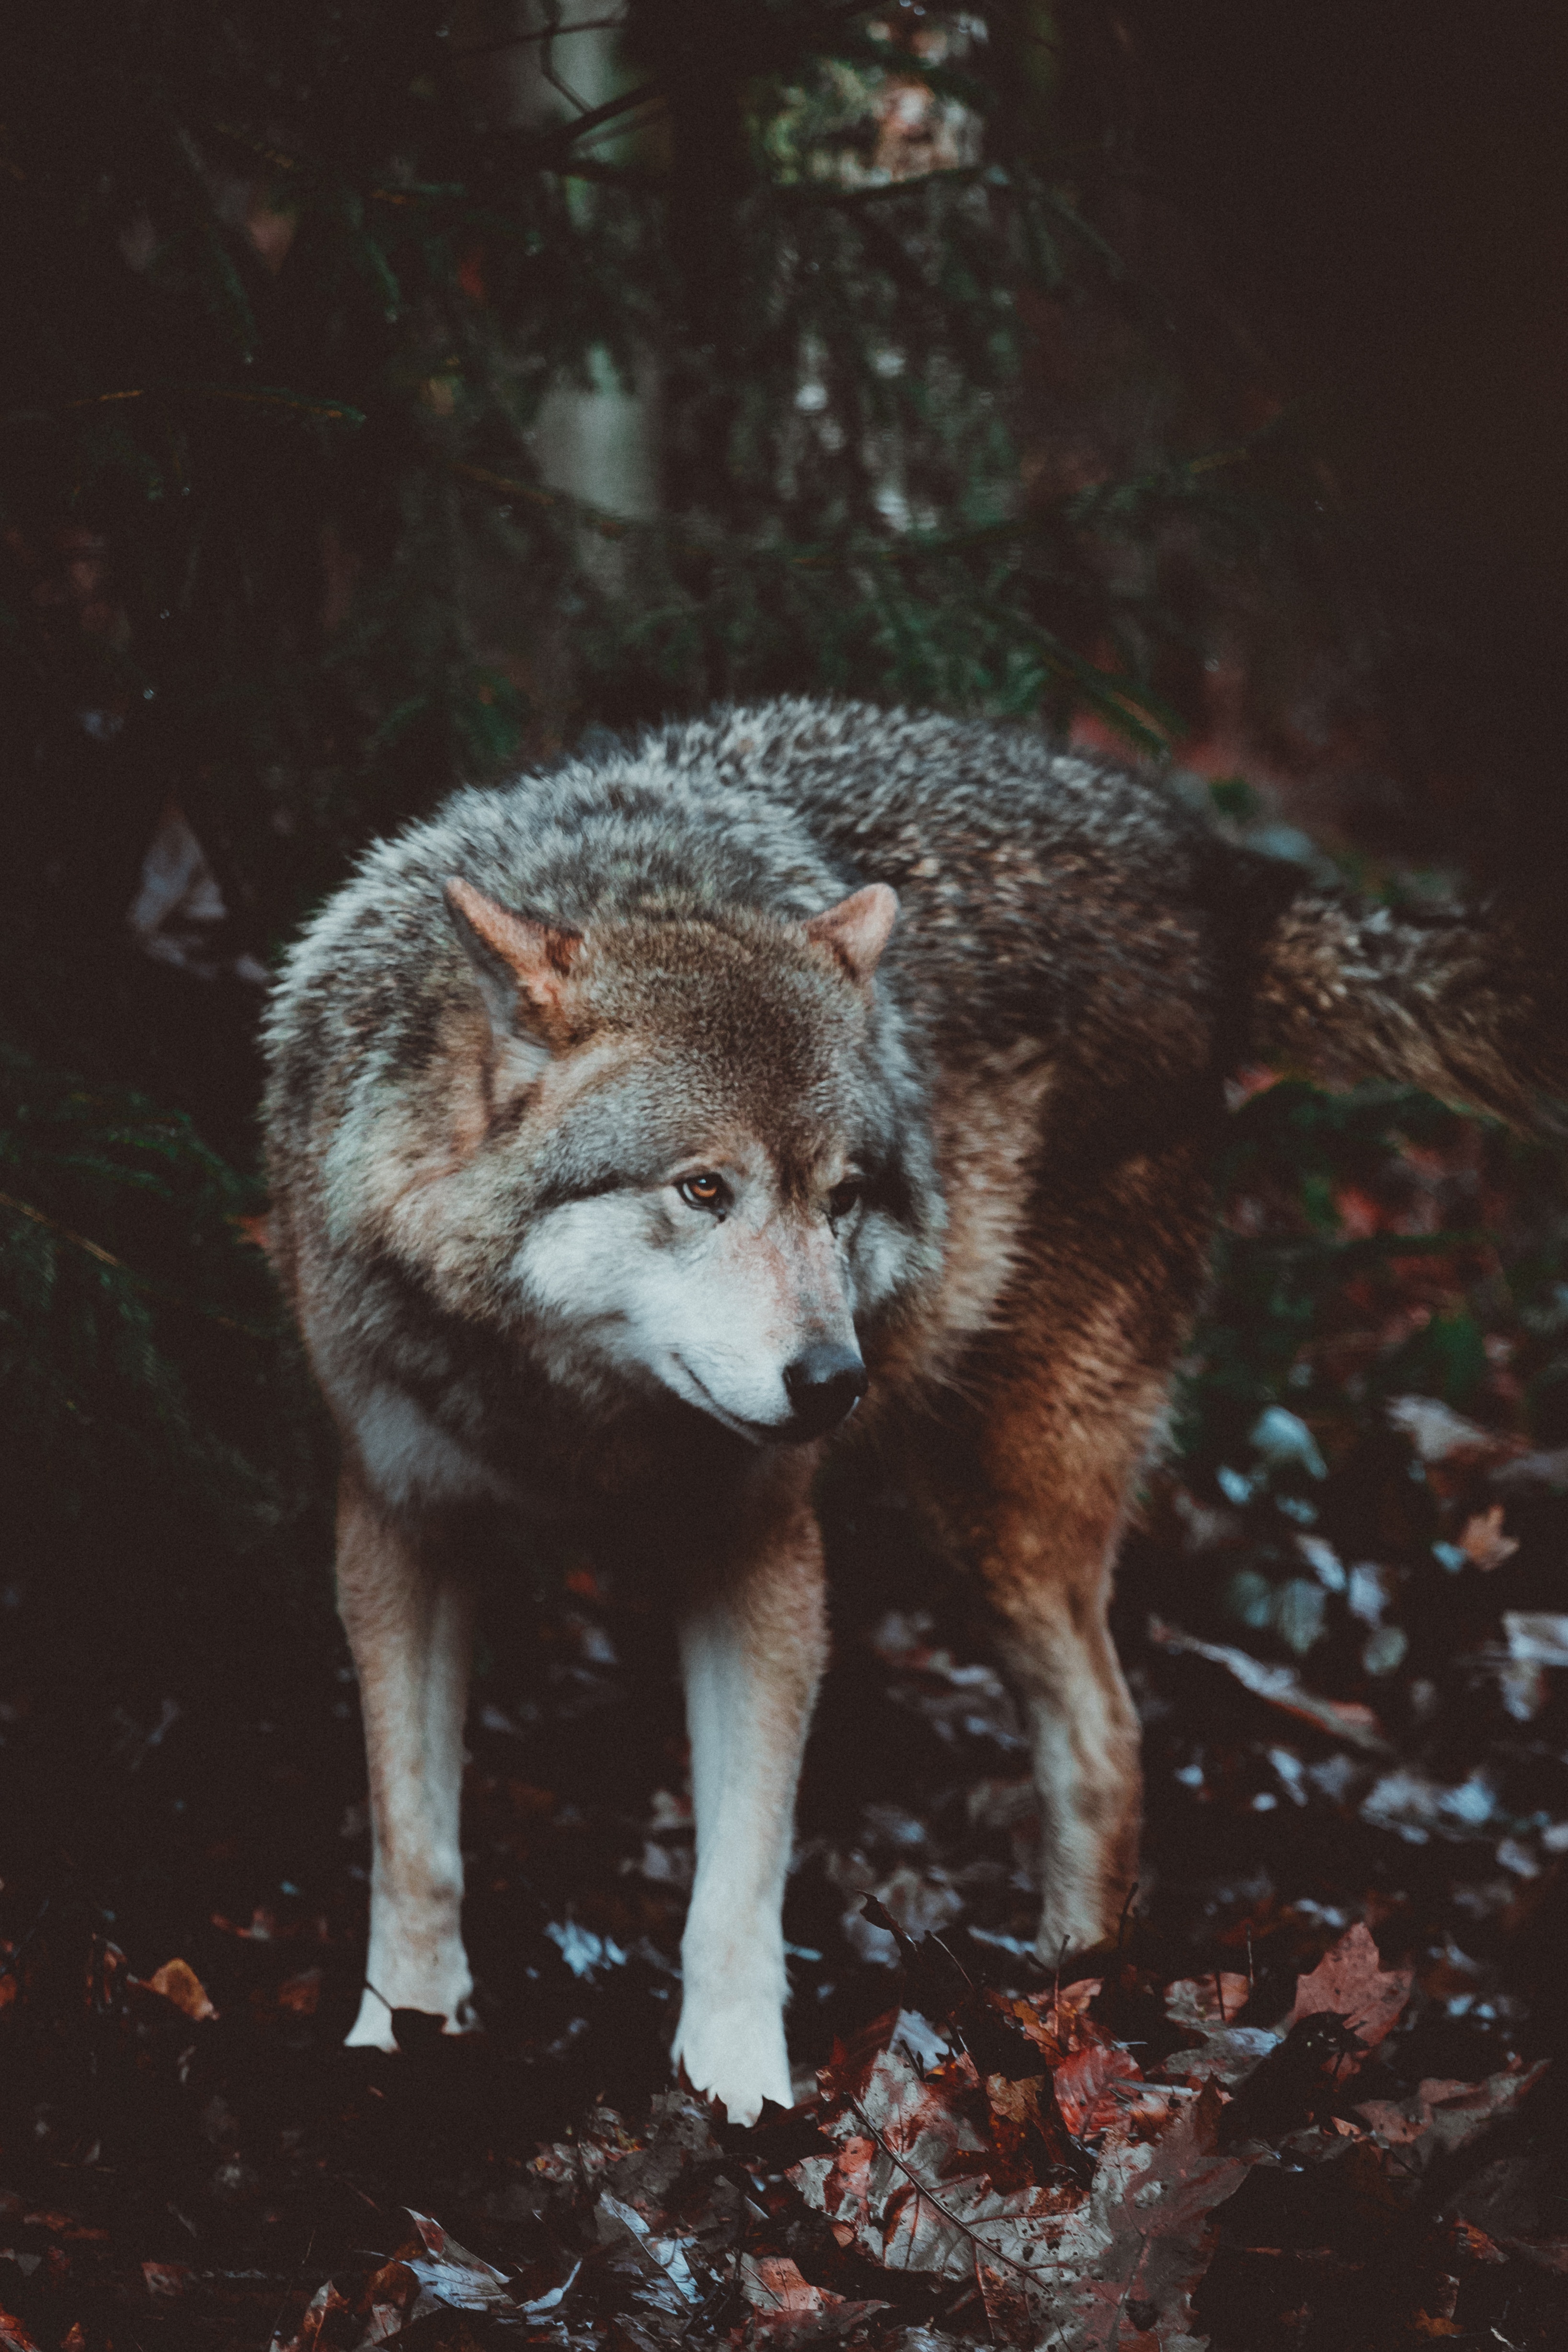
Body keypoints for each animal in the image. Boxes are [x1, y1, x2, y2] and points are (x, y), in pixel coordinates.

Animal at [263, 696, 1561, 2135]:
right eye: (703, 1189)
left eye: (840, 1198)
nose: (834, 1382)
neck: (576, 1413)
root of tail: (1202, 860)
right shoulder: (400, 1520)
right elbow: (413, 1836)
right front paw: (400, 2039)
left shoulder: (762, 1550)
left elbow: (738, 1882)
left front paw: (737, 2096)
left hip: (995, 1510)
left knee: (1107, 1741)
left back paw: (1067, 2001)